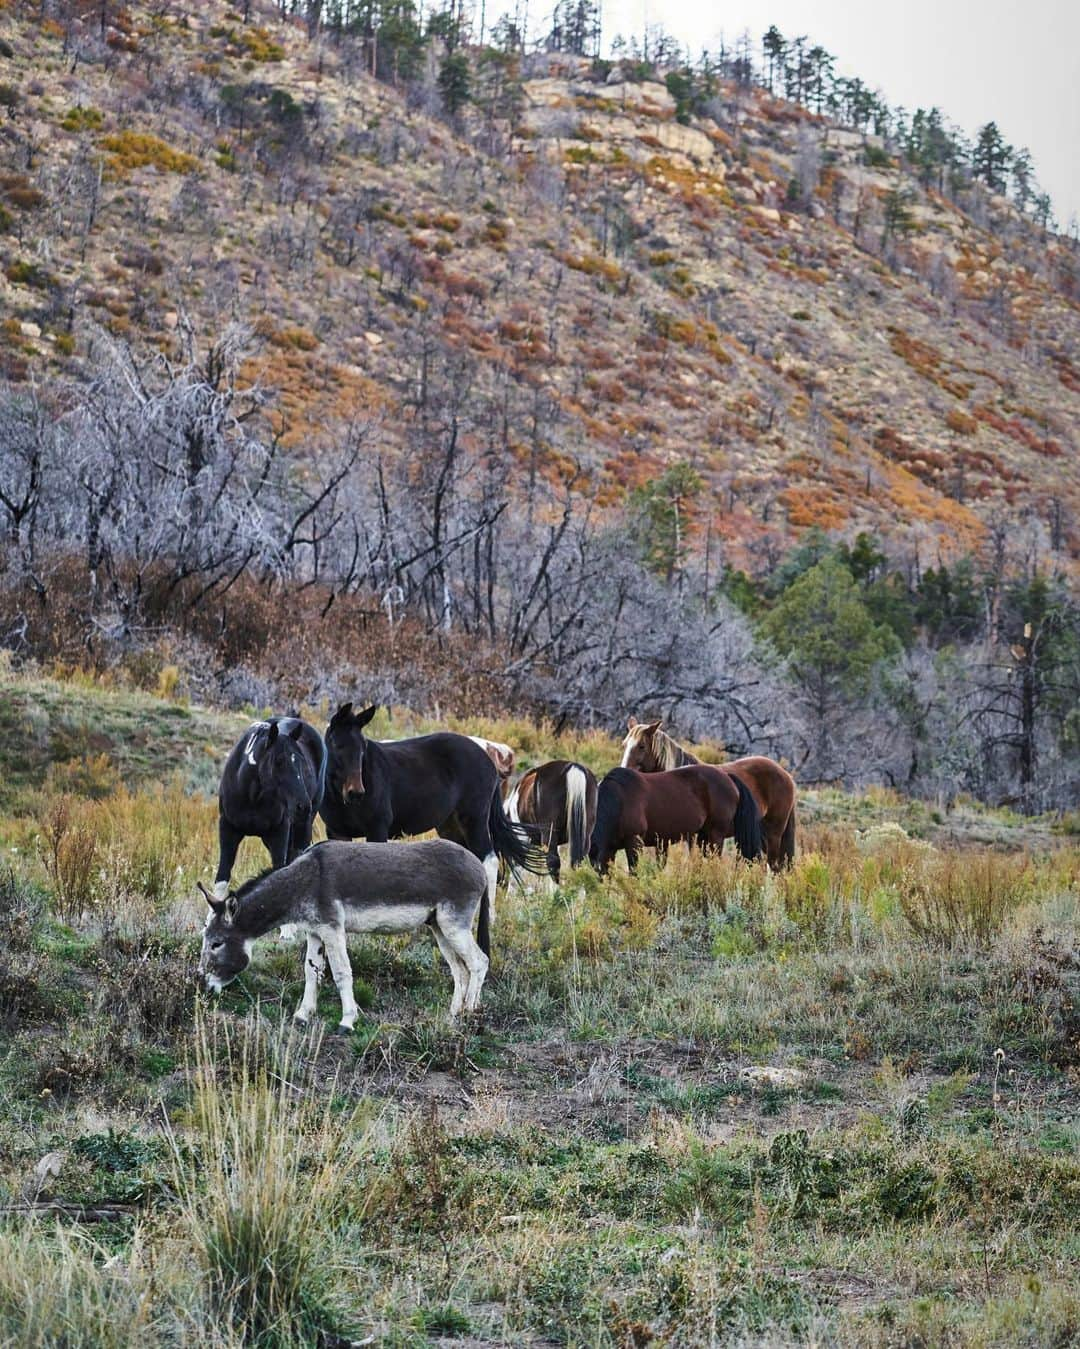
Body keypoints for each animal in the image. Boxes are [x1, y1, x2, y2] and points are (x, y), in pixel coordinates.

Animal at [198, 836, 488, 1025]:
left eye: (216, 943)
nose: (202, 987)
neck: (305, 879)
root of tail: (480, 867)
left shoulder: (332, 928)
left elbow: (341, 972)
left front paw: (348, 1020)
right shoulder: (315, 931)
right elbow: (311, 972)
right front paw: (303, 1015)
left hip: (454, 926)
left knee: (479, 961)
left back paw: (471, 1012)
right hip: (440, 927)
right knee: (459, 969)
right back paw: (454, 1014)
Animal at [213, 717, 326, 895]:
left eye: (301, 761)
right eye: (279, 760)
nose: (303, 806)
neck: (251, 796)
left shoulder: (279, 833)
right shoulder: (228, 829)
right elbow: (221, 881)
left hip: (303, 829)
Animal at [315, 701, 544, 955]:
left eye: (363, 748)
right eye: (337, 745)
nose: (356, 792)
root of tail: (487, 759)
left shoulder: (377, 828)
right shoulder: (337, 832)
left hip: (474, 818)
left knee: (489, 859)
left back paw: (488, 918)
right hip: (451, 826)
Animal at [590, 766, 760, 879]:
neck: (619, 802)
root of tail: (728, 777)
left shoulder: (633, 842)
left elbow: (634, 872)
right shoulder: (610, 849)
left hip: (715, 835)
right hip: (702, 837)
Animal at [620, 723, 798, 868]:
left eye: (642, 746)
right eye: (624, 745)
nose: (624, 771)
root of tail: (786, 775)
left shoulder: (692, 837)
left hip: (773, 833)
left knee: (773, 866)